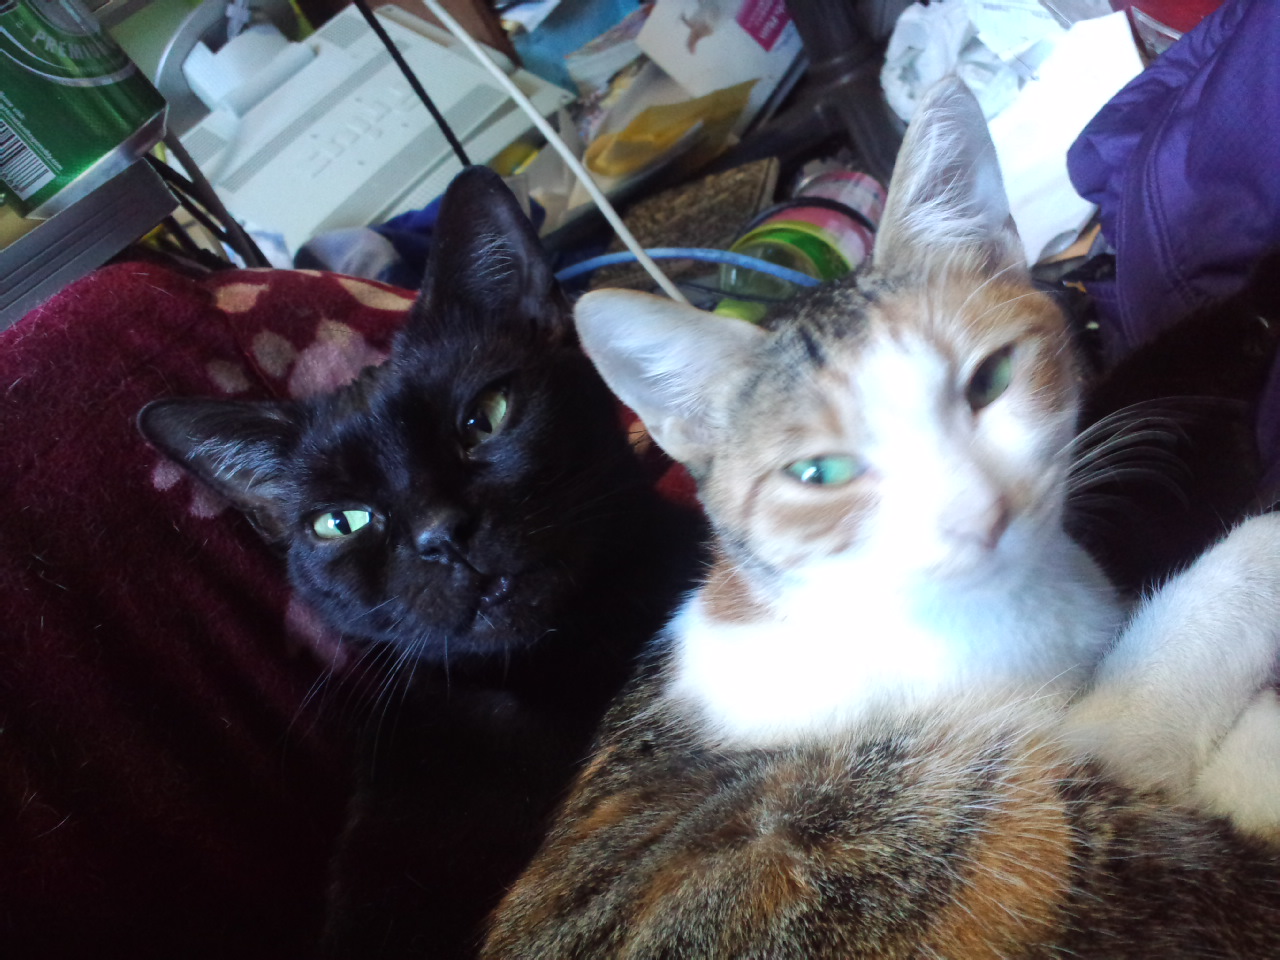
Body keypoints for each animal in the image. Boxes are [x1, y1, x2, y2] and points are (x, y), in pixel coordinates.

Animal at [479, 79, 1280, 958]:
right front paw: (1264, 549)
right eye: (818, 474)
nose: (982, 513)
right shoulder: (1074, 752)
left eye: (991, 379)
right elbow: (1161, 681)